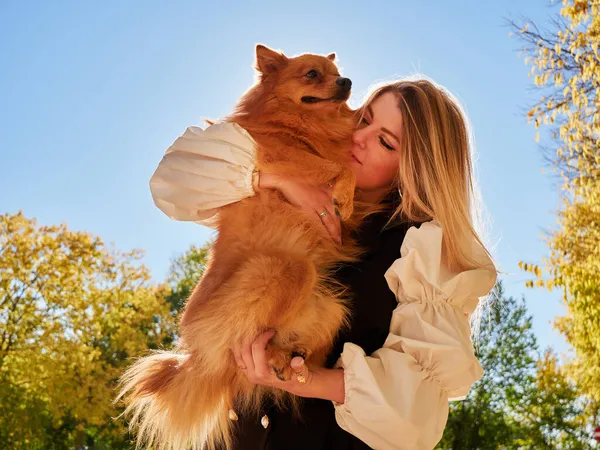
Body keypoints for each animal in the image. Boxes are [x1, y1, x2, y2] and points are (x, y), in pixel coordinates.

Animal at [117, 44, 360, 450]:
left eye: (336, 72)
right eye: (312, 74)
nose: (348, 81)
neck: (303, 125)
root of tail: (197, 357)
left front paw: (349, 195)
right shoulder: (283, 157)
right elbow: (332, 166)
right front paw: (343, 191)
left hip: (330, 307)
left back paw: (285, 357)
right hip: (285, 270)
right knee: (251, 338)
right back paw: (271, 355)